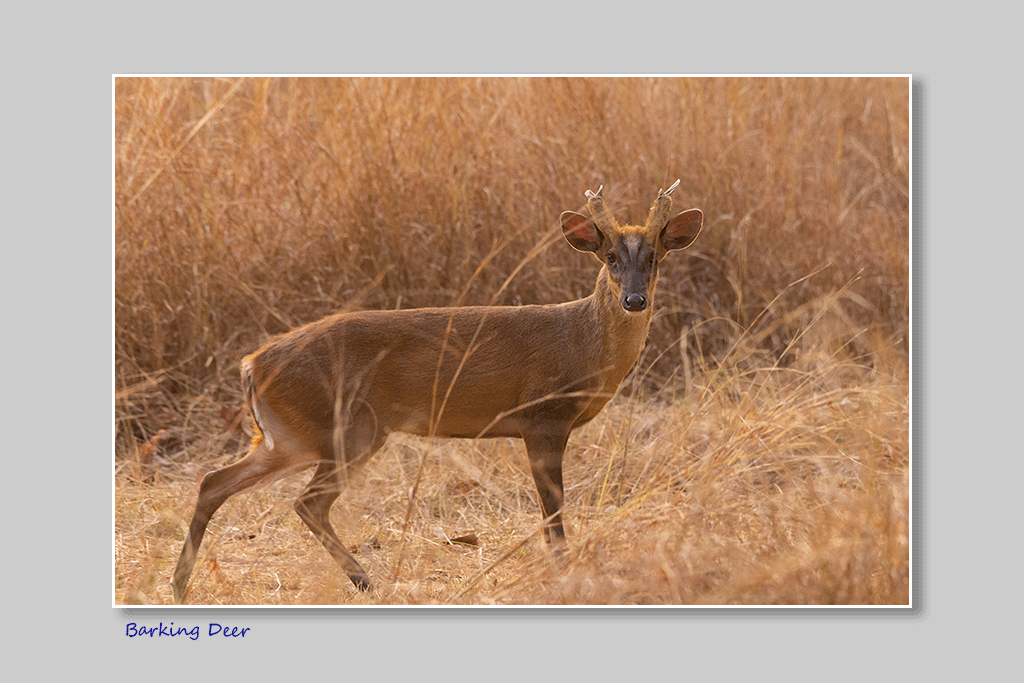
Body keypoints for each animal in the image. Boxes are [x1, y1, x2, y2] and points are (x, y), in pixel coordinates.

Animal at [174, 183, 704, 602]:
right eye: (609, 257)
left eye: (655, 257)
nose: (634, 300)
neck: (581, 345)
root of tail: (251, 364)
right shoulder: (543, 418)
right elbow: (553, 513)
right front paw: (564, 573)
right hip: (347, 428)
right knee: (306, 502)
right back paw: (365, 581)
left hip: (290, 436)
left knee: (215, 482)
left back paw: (180, 584)